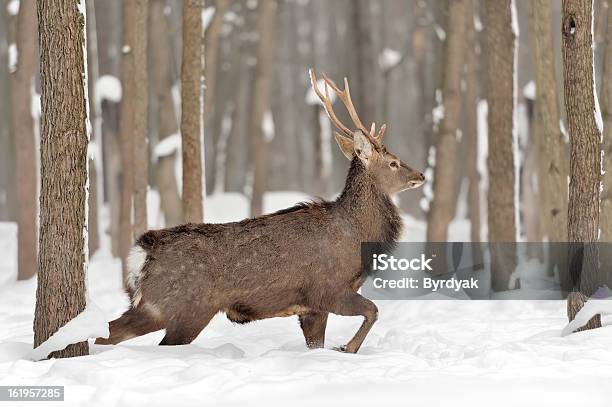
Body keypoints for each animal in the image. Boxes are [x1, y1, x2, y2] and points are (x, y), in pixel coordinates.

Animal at [98, 69, 426, 354]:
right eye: (393, 163)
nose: (421, 175)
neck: (357, 236)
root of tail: (143, 250)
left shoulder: (311, 308)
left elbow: (317, 343)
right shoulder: (327, 290)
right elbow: (373, 310)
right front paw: (346, 348)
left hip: (159, 305)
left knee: (112, 329)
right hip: (182, 306)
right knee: (125, 333)